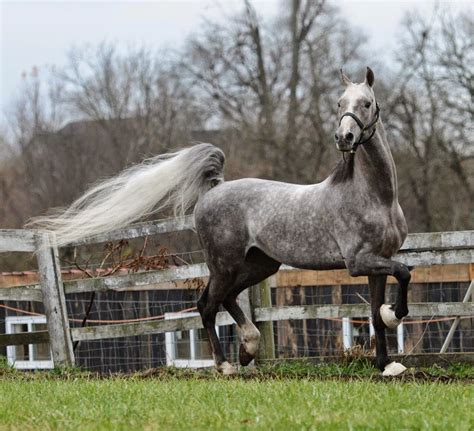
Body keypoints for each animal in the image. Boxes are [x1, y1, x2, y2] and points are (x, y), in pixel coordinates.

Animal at [29, 66, 410, 376]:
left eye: (366, 103)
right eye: (339, 102)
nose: (344, 138)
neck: (374, 197)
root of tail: (214, 189)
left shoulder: (376, 261)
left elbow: (375, 313)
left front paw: (387, 364)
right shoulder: (357, 262)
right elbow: (404, 272)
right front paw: (396, 315)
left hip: (259, 264)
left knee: (226, 300)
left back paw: (247, 350)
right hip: (225, 263)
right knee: (208, 304)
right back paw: (225, 364)